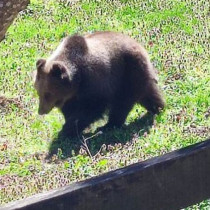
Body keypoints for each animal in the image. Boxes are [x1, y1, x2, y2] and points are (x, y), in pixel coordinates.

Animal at [33, 30, 165, 136]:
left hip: (128, 71)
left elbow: (92, 108)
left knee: (123, 101)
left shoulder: (96, 81)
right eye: (39, 92)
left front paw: (68, 130)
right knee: (148, 93)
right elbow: (70, 110)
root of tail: (138, 45)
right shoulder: (71, 96)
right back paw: (157, 107)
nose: (41, 111)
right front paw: (69, 127)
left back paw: (109, 125)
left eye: (48, 93)